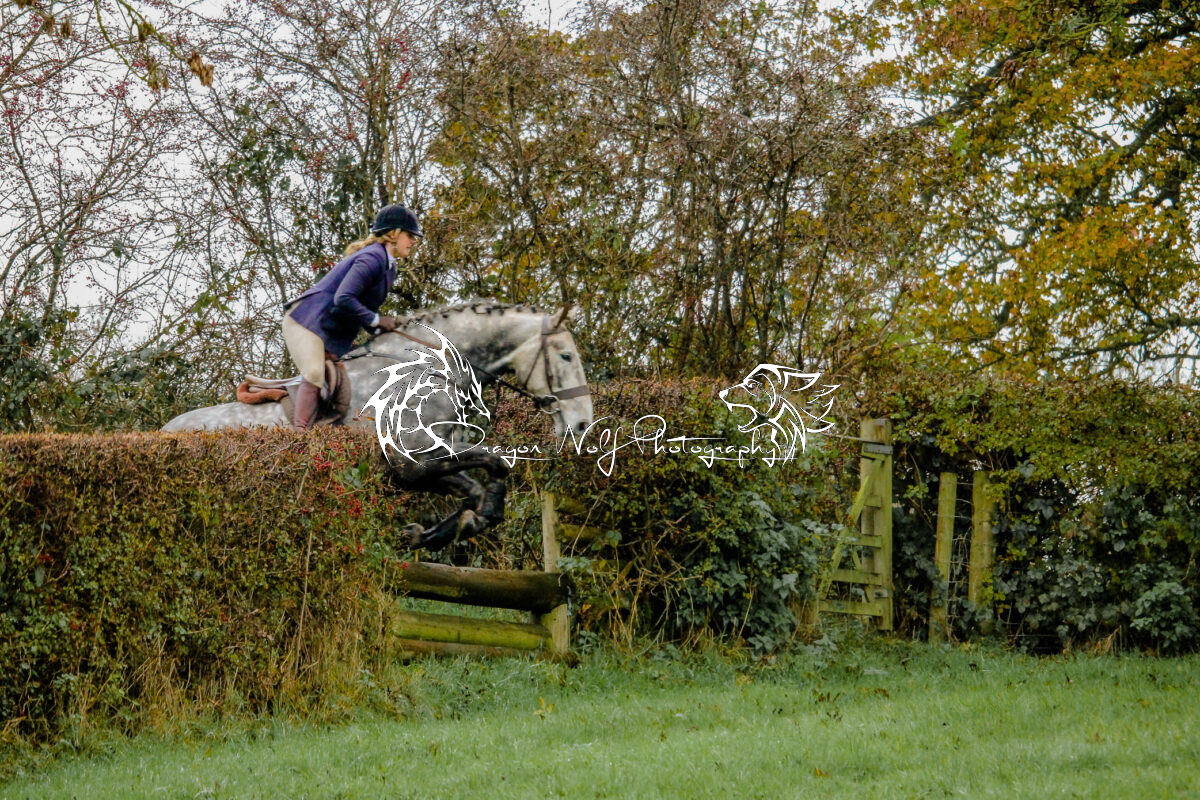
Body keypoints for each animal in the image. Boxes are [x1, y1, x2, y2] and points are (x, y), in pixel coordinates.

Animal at [161, 302, 593, 549]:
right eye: (566, 356)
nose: (583, 423)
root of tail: (163, 431)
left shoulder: (423, 469)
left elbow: (476, 489)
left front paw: (429, 532)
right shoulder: (412, 465)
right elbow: (496, 464)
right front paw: (433, 531)